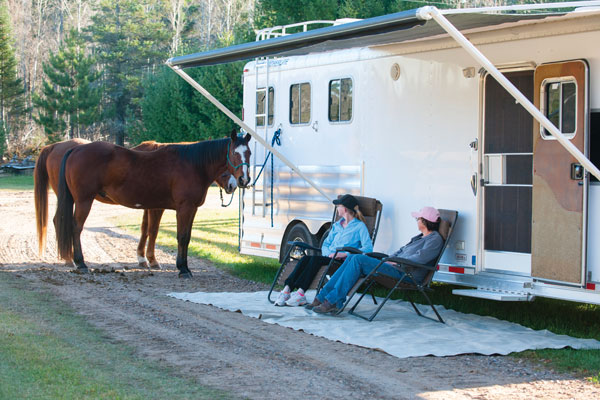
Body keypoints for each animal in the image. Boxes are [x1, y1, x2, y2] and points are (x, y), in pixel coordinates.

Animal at [54, 131, 253, 278]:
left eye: (249, 153)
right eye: (234, 153)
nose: (242, 181)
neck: (192, 164)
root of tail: (76, 150)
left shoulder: (191, 209)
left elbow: (186, 237)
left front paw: (184, 266)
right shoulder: (184, 208)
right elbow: (181, 236)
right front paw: (183, 269)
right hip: (83, 201)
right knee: (76, 227)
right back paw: (80, 263)